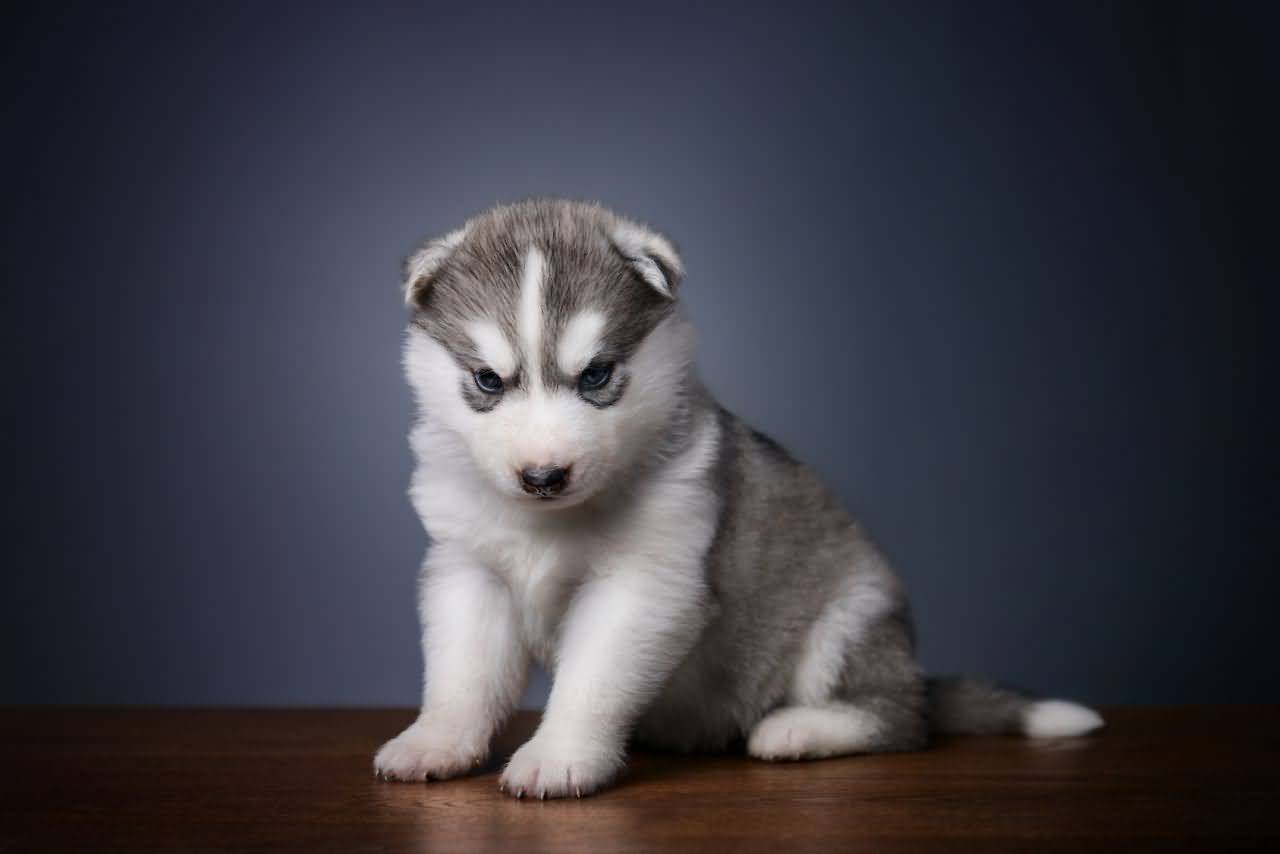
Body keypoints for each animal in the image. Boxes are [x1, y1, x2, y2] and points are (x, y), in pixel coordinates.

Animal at [373, 197, 1100, 798]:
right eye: (488, 380)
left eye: (598, 375)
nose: (544, 476)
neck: (552, 521)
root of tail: (911, 674)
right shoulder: (468, 570)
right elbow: (462, 674)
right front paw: (435, 741)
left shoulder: (645, 582)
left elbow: (591, 680)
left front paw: (560, 756)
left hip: (849, 618)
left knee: (896, 719)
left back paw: (800, 729)